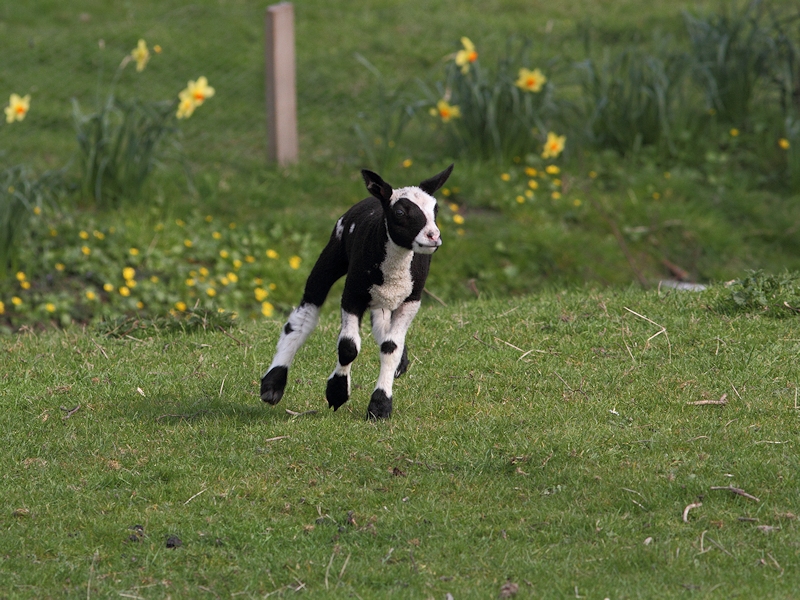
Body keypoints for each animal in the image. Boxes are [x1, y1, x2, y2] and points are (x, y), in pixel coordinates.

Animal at [260, 162, 454, 420]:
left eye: (436, 209)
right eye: (400, 213)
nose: (433, 237)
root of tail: (374, 197)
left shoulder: (412, 299)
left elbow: (390, 347)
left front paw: (380, 406)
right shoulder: (352, 294)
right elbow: (348, 348)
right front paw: (337, 392)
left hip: (383, 297)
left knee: (382, 327)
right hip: (332, 254)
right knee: (304, 316)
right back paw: (272, 385)